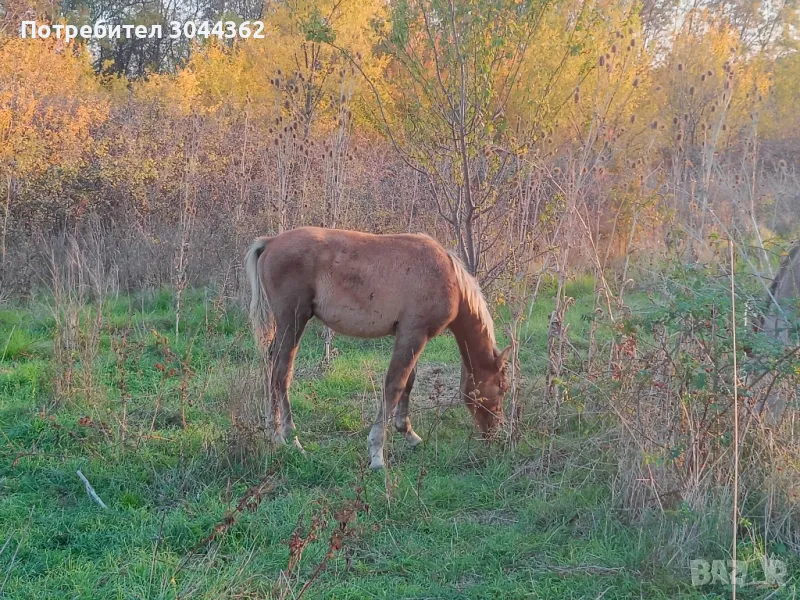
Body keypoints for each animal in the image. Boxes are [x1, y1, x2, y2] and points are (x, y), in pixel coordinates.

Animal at [242, 225, 512, 468]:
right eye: (501, 387)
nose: (497, 434)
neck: (447, 276)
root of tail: (270, 242)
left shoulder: (410, 336)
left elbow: (408, 382)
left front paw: (408, 432)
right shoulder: (413, 334)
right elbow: (394, 385)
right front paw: (377, 453)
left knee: (272, 368)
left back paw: (278, 432)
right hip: (292, 322)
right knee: (281, 374)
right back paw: (285, 438)